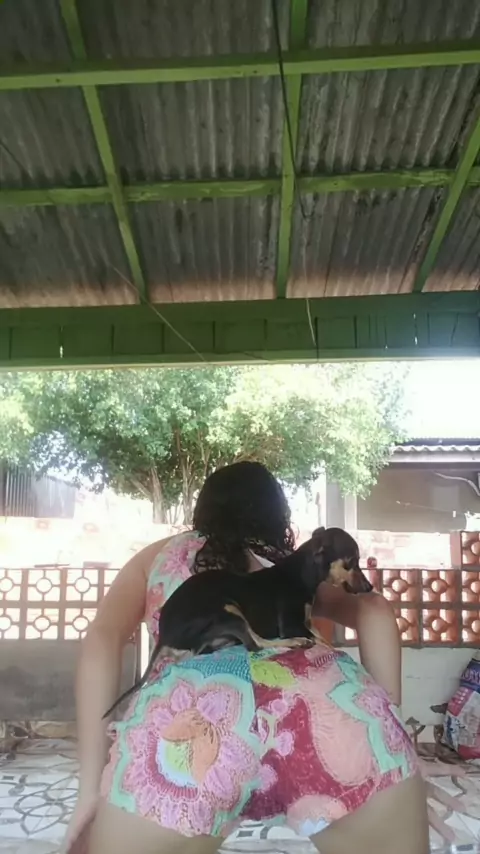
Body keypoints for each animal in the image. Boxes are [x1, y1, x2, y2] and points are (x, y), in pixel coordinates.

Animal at [104, 527, 372, 717]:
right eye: (352, 561)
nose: (370, 588)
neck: (303, 573)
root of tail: (164, 636)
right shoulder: (291, 625)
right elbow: (321, 642)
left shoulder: (307, 622)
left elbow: (323, 638)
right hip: (227, 608)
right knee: (255, 644)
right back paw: (295, 642)